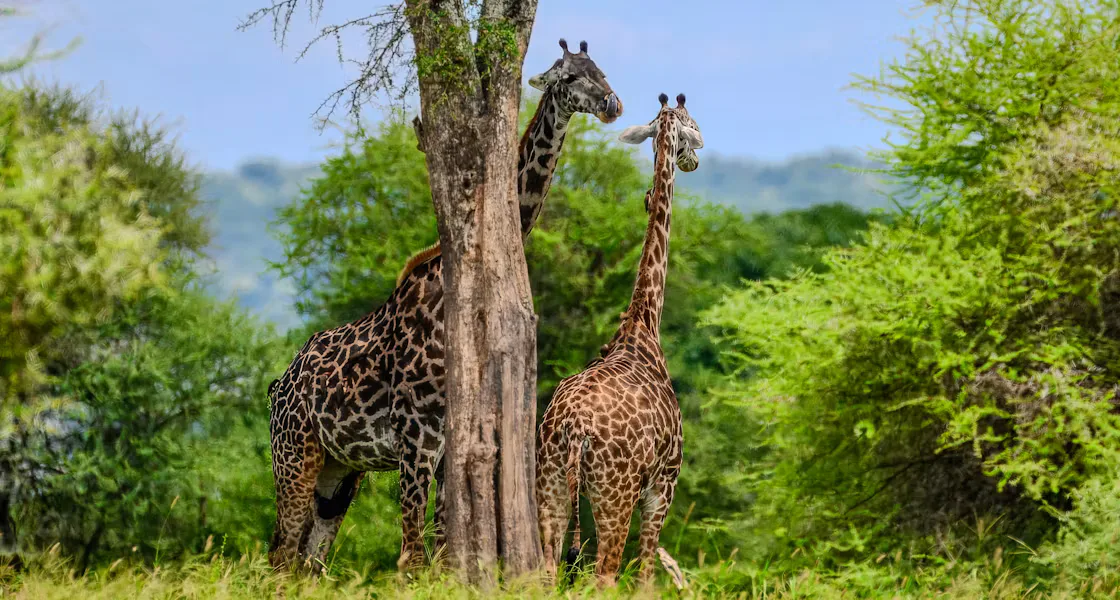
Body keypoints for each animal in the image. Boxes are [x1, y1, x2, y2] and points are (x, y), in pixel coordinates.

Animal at [265, 39, 622, 574]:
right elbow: (411, 558)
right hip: (294, 454)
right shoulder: (413, 441)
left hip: (338, 470)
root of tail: (277, 387)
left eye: (600, 69)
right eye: (569, 77)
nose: (611, 104)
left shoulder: (446, 448)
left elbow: (439, 552)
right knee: (280, 552)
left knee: (307, 560)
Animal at [535, 93, 702, 586]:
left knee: (548, 569)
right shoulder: (664, 485)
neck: (644, 323)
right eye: (692, 124)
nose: (696, 157)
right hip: (616, 494)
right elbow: (647, 575)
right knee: (604, 574)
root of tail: (574, 430)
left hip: (550, 484)